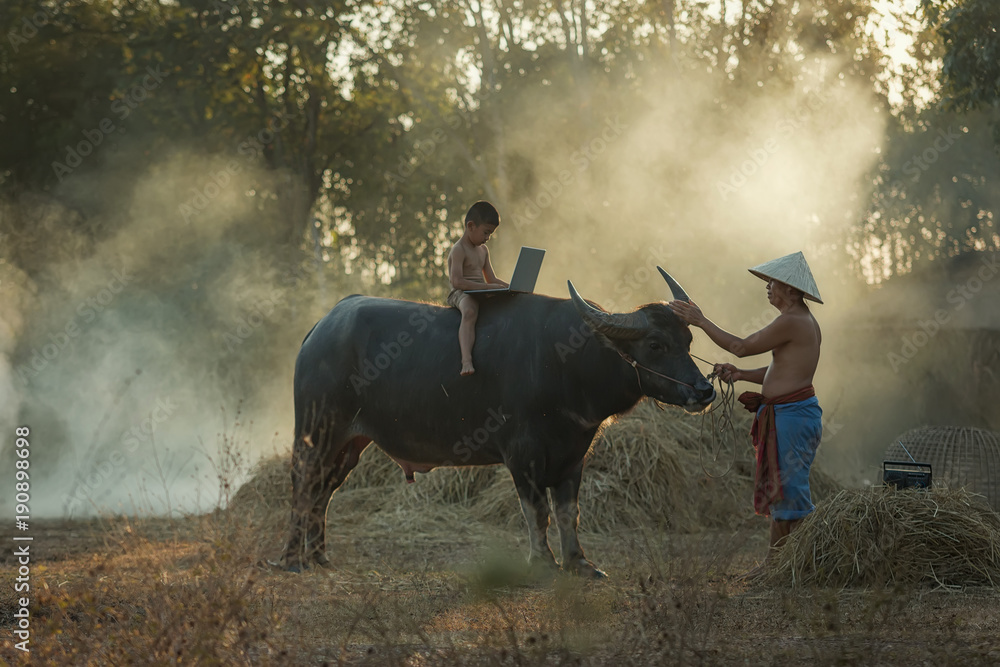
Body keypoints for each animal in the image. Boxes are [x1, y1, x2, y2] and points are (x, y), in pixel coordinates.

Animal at [286, 268, 716, 576]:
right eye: (655, 344)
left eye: (688, 342)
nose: (703, 391)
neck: (567, 361)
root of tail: (319, 331)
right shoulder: (522, 455)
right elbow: (537, 511)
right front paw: (543, 563)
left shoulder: (573, 455)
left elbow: (568, 512)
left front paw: (579, 563)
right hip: (316, 432)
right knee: (303, 487)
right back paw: (293, 560)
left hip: (349, 443)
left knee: (324, 492)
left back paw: (320, 557)